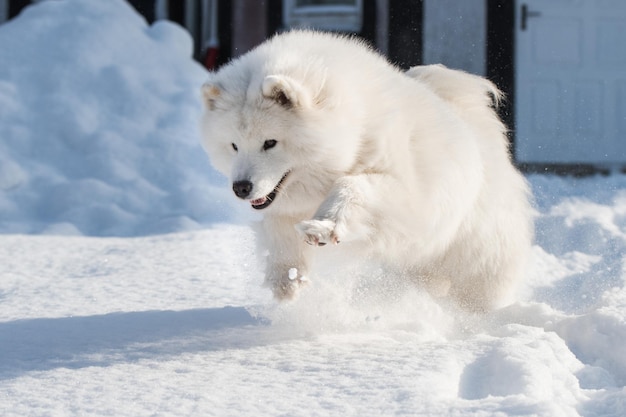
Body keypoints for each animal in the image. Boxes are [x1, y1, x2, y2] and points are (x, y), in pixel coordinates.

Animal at [200, 30, 532, 310]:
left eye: (270, 142)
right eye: (233, 145)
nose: (241, 187)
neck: (354, 129)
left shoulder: (404, 191)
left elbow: (353, 187)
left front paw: (323, 227)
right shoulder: (284, 205)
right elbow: (277, 229)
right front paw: (288, 280)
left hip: (475, 251)